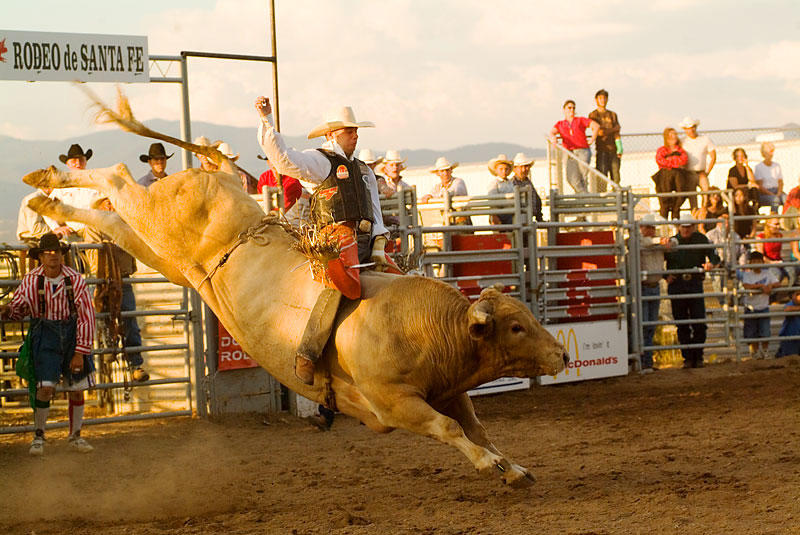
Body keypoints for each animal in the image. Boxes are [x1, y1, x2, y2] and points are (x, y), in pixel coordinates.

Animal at [22, 89, 568, 487]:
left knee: (111, 216)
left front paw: (513, 467)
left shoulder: (451, 390)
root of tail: (221, 178)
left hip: (167, 255)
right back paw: (45, 180)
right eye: (516, 327)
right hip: (159, 217)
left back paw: (47, 196)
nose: (562, 356)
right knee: (115, 176)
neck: (427, 327)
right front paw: (492, 465)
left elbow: (476, 427)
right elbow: (450, 428)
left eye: (528, 317)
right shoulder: (395, 404)